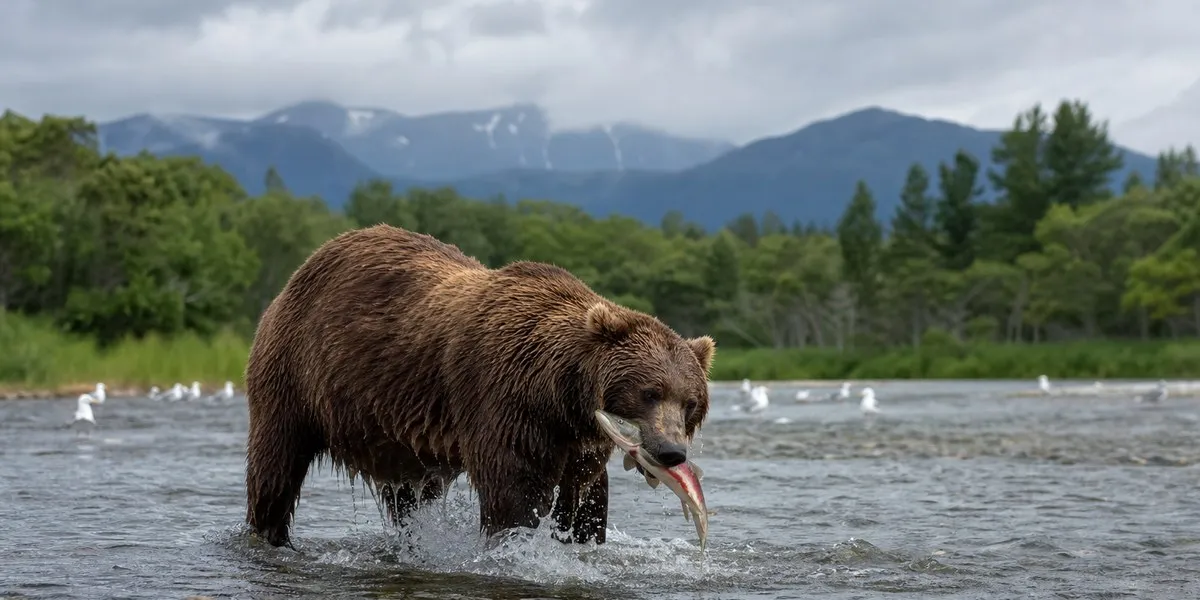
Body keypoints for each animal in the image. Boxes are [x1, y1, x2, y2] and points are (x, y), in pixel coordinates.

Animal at [243, 224, 715, 549]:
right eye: (650, 391)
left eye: (690, 402)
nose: (671, 452)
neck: (561, 395)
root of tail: (306, 265)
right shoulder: (505, 401)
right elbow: (513, 492)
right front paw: (515, 544)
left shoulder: (580, 443)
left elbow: (585, 499)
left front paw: (579, 540)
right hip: (293, 372)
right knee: (275, 466)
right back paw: (269, 534)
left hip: (395, 435)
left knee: (408, 494)